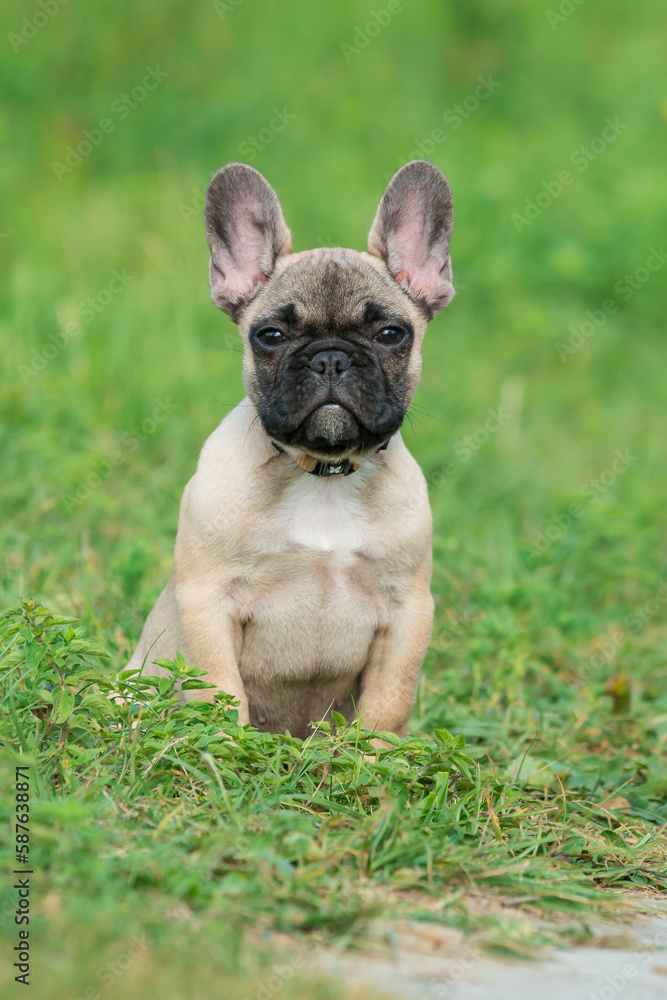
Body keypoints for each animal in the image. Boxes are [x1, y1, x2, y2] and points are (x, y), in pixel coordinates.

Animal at [126, 156, 454, 736]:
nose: (330, 358)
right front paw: (225, 746)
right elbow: (218, 692)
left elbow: (387, 704)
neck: (322, 473)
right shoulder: (208, 601)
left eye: (391, 334)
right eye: (271, 337)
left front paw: (376, 755)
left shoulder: (408, 614)